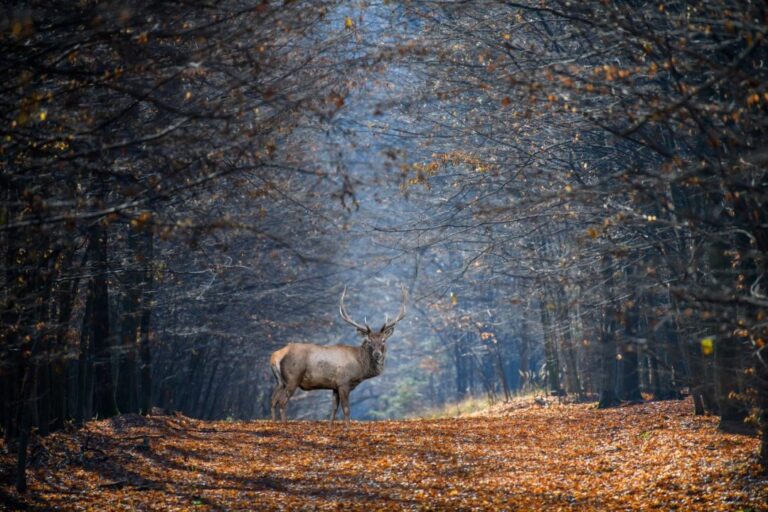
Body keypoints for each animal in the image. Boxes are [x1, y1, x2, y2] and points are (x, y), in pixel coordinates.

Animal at [269, 285, 407, 423]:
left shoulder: (334, 386)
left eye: (383, 340)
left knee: (273, 400)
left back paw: (275, 423)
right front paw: (347, 428)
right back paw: (284, 424)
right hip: (292, 378)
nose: (377, 354)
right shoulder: (343, 382)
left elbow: (334, 410)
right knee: (282, 401)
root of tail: (275, 356)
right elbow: (346, 410)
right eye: (368, 341)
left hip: (280, 382)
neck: (359, 366)